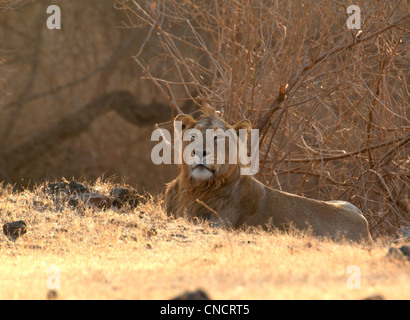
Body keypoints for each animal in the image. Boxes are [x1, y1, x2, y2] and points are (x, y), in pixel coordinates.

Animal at [165, 107, 374, 242]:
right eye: (193, 136)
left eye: (218, 138)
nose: (199, 151)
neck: (195, 188)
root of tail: (365, 223)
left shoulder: (219, 225)